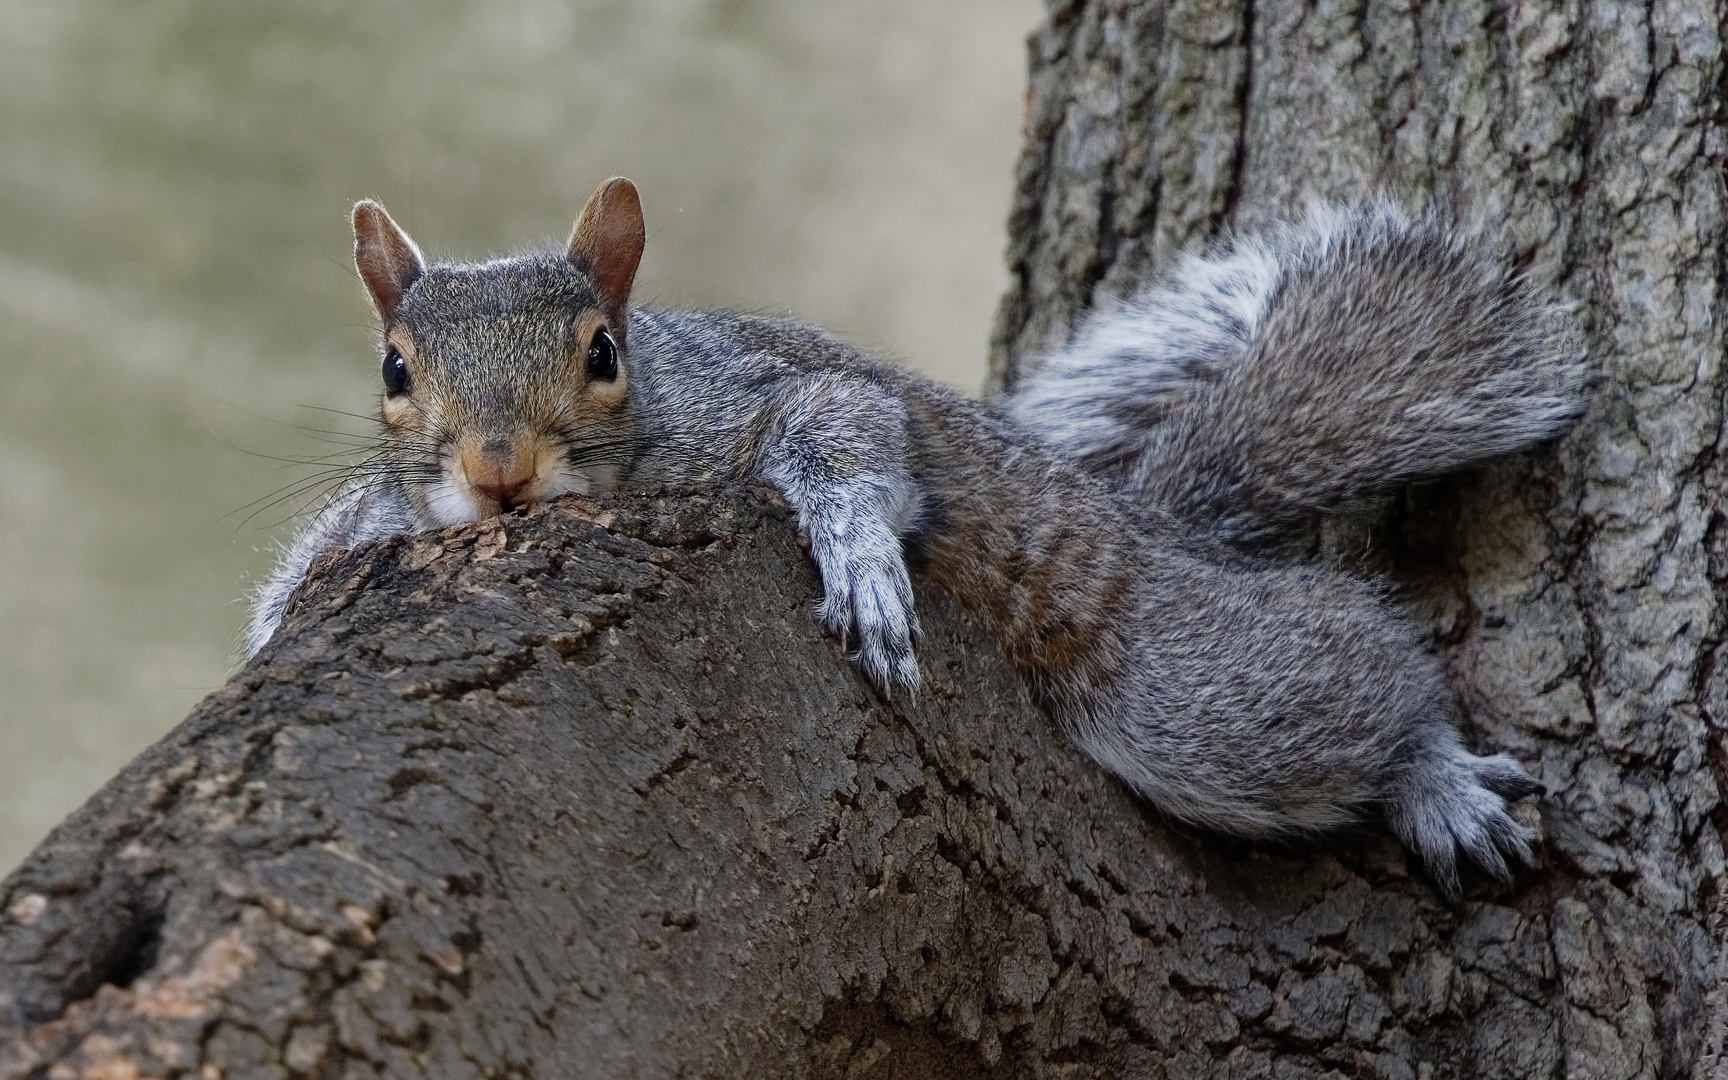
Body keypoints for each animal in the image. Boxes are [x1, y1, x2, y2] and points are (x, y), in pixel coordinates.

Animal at [247, 178, 1589, 891]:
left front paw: (860, 560)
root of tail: (1162, 533)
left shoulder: (766, 404)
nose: (498, 471)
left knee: (1351, 668)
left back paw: (1433, 774)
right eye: (395, 370)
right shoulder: (380, 514)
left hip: (1184, 688)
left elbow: (847, 438)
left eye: (604, 355)